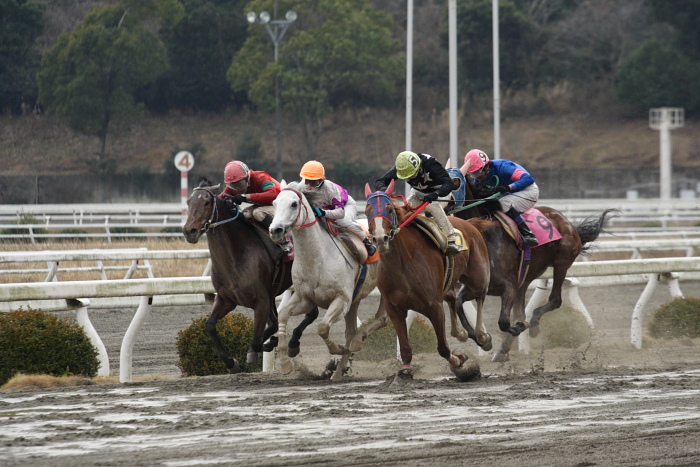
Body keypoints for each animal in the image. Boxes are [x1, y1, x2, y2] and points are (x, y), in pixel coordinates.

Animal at [180, 179, 318, 372]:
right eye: (188, 202)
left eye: (206, 203)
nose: (189, 231)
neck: (236, 257)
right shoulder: (226, 299)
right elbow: (210, 325)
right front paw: (230, 362)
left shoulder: (261, 301)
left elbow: (260, 337)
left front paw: (260, 347)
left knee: (312, 314)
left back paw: (292, 343)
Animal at [270, 182, 388, 380]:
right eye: (274, 203)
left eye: (294, 204)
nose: (275, 230)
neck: (317, 259)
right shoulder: (305, 299)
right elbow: (283, 315)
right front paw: (286, 361)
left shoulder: (341, 299)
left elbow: (323, 327)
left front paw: (337, 348)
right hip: (355, 300)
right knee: (351, 331)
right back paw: (338, 372)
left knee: (381, 319)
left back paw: (356, 343)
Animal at [364, 181, 490, 378]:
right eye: (367, 210)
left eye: (389, 209)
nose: (380, 239)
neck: (401, 265)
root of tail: (468, 223)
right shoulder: (394, 308)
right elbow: (405, 347)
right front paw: (405, 369)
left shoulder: (433, 306)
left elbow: (443, 348)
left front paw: (459, 361)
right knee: (453, 298)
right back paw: (461, 332)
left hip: (478, 279)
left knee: (479, 296)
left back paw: (481, 336)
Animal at [448, 179, 612, 362]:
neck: (484, 238)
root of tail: (569, 224)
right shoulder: (477, 288)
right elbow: (459, 303)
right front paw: (482, 340)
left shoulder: (509, 286)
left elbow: (505, 322)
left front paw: (520, 328)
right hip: (525, 280)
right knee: (523, 311)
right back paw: (504, 348)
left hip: (561, 263)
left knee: (555, 300)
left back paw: (533, 326)